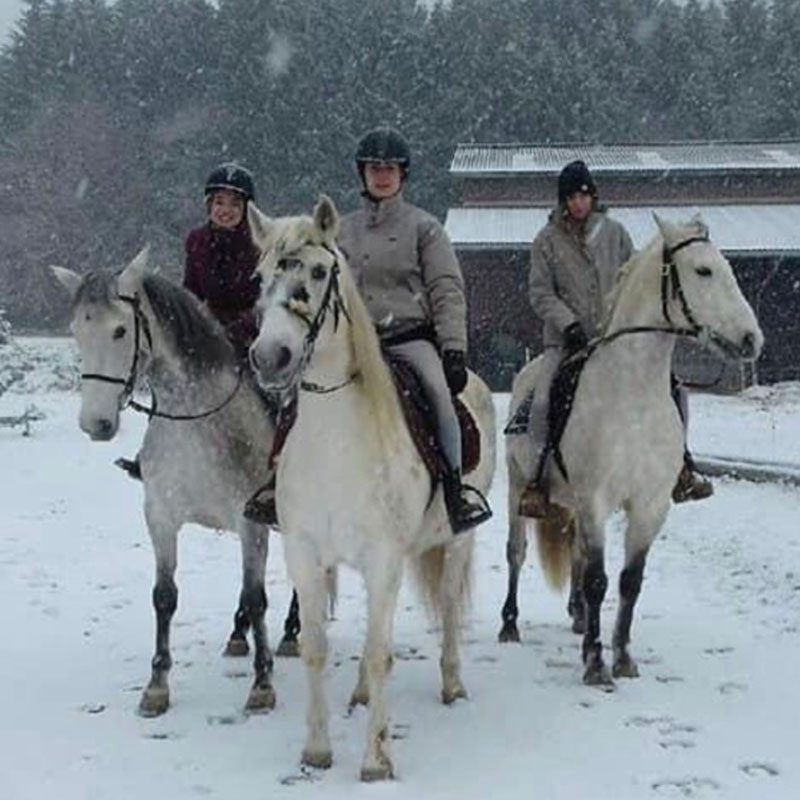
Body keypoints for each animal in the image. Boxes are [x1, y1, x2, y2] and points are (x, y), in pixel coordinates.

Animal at [52, 250, 301, 716]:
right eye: (76, 331)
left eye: (120, 330)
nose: (95, 424)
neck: (197, 418)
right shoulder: (161, 517)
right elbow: (164, 597)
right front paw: (156, 686)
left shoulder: (251, 523)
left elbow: (257, 597)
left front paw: (262, 684)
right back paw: (239, 634)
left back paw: (293, 632)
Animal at [247, 196, 496, 780]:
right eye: (260, 277)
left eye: (318, 272)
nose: (270, 357)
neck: (335, 439)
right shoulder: (306, 553)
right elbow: (316, 647)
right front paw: (316, 750)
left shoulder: (384, 556)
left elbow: (383, 652)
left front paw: (377, 760)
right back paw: (359, 693)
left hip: (457, 540)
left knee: (448, 606)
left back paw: (452, 684)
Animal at [502, 214, 763, 687]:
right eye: (703, 270)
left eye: (728, 267)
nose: (752, 339)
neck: (633, 396)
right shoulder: (595, 500)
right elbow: (599, 580)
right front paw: (594, 664)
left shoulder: (650, 505)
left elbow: (629, 581)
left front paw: (622, 656)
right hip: (518, 487)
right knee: (517, 552)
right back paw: (510, 624)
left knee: (576, 555)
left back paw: (578, 617)